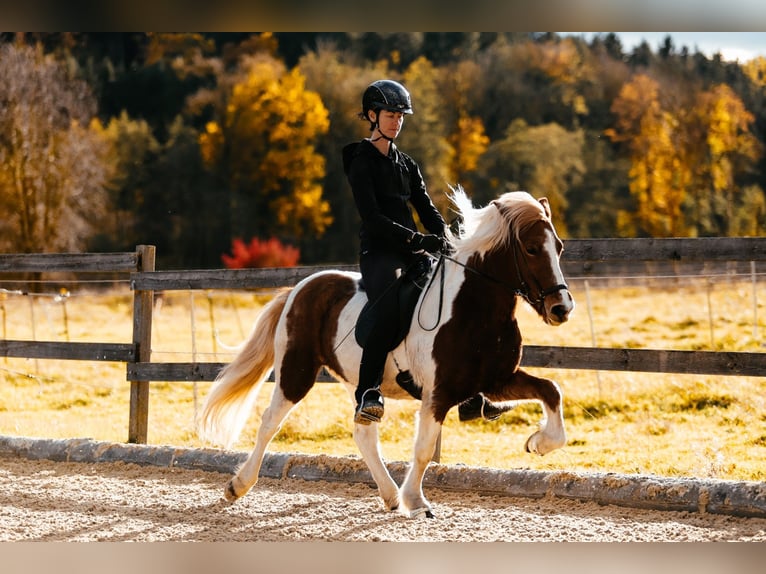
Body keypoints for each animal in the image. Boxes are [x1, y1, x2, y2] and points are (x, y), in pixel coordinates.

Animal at [198, 187, 575, 518]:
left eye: (557, 247)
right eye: (530, 248)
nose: (561, 309)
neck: (475, 309)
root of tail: (300, 288)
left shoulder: (497, 380)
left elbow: (551, 390)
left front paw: (539, 443)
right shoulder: (438, 393)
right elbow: (423, 450)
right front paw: (417, 503)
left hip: (361, 381)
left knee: (363, 433)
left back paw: (390, 496)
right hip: (297, 371)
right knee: (269, 423)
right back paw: (238, 486)